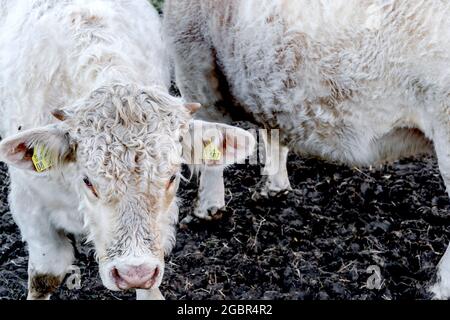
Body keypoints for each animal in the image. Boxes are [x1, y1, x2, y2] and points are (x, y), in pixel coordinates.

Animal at [165, 0, 450, 298]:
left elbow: (209, 141)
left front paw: (205, 211)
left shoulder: (192, 56)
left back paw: (438, 286)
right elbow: (273, 131)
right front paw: (273, 189)